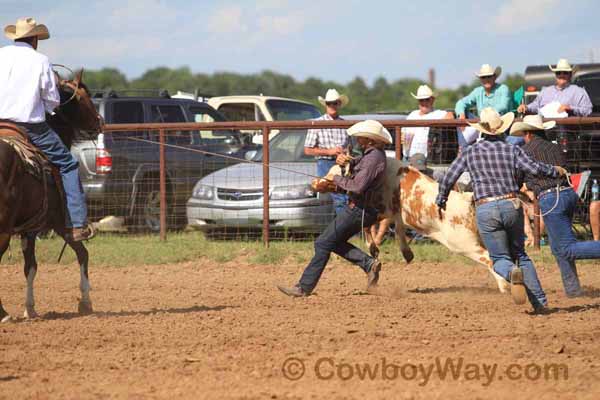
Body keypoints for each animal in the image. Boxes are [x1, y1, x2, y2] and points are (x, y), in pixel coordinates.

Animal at [0, 69, 102, 322]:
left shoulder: (29, 229)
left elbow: (30, 267)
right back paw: (3, 313)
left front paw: (30, 308)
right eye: (84, 98)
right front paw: (86, 302)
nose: (99, 121)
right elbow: (83, 253)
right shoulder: (60, 222)